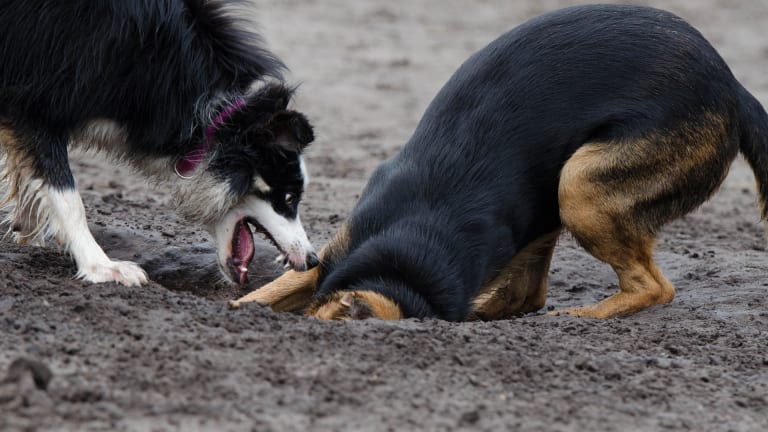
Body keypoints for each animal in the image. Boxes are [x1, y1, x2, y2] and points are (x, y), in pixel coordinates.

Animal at [0, 0, 318, 286]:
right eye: (289, 197)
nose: (312, 260)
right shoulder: (42, 88)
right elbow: (66, 193)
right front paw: (104, 268)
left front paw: (27, 230)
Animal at [230, 4, 768, 320]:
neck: (406, 260)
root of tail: (733, 89)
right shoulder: (332, 254)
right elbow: (279, 287)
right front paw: (238, 309)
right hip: (559, 200)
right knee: (532, 294)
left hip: (579, 187)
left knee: (653, 287)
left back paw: (571, 320)